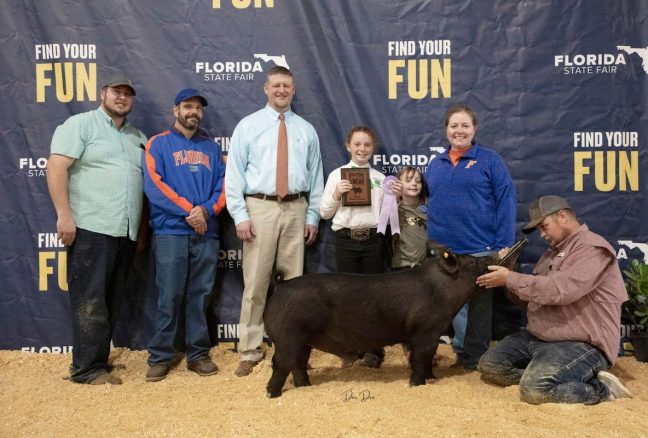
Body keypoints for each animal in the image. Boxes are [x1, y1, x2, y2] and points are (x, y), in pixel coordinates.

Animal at [264, 245, 496, 398]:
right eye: (472, 262)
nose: (491, 259)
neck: (442, 291)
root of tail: (281, 286)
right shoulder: (425, 331)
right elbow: (422, 357)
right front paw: (417, 384)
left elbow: (426, 359)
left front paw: (432, 378)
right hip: (288, 335)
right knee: (281, 363)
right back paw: (272, 394)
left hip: (303, 341)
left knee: (298, 363)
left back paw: (305, 387)